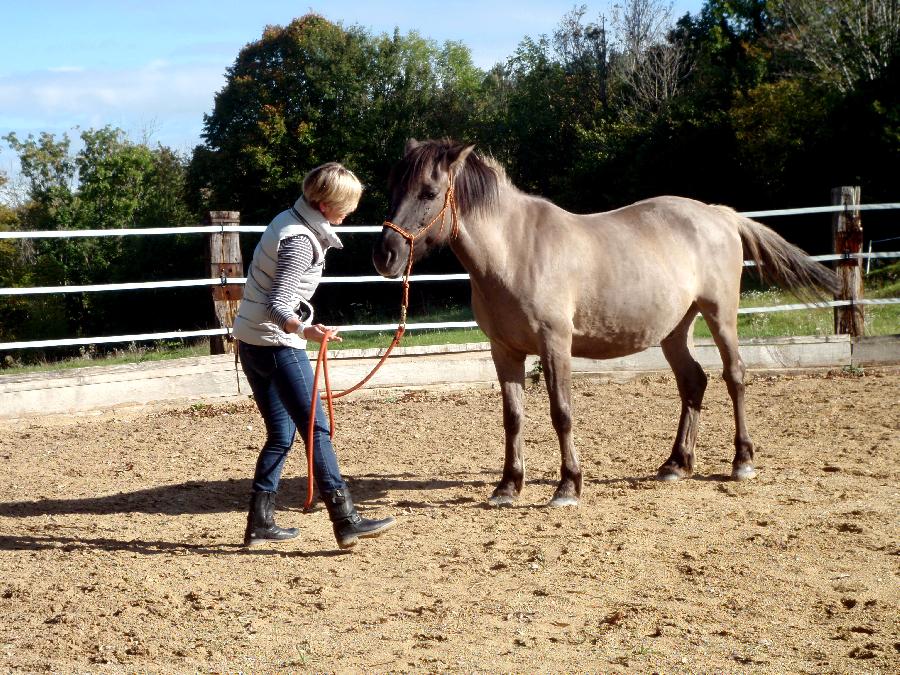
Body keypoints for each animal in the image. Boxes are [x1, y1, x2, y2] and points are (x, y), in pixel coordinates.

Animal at [370, 139, 836, 508]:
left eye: (429, 192)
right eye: (392, 189)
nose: (385, 256)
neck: (515, 249)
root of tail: (719, 214)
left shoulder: (554, 345)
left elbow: (561, 412)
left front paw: (568, 487)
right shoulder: (504, 351)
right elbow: (513, 417)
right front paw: (507, 487)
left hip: (720, 314)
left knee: (734, 376)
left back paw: (742, 461)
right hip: (674, 330)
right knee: (693, 381)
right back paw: (676, 464)